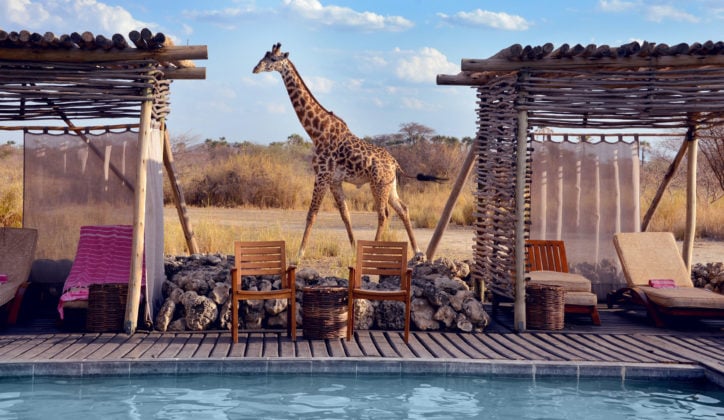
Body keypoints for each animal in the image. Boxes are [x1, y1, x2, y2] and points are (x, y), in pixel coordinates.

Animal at [255, 42, 446, 260]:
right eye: (264, 56)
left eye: (272, 59)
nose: (255, 69)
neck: (317, 132)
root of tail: (395, 163)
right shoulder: (334, 180)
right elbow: (345, 215)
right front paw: (354, 249)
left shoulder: (322, 176)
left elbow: (312, 214)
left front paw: (299, 254)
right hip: (390, 185)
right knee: (403, 209)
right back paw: (417, 252)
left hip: (378, 184)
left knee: (383, 215)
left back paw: (374, 251)